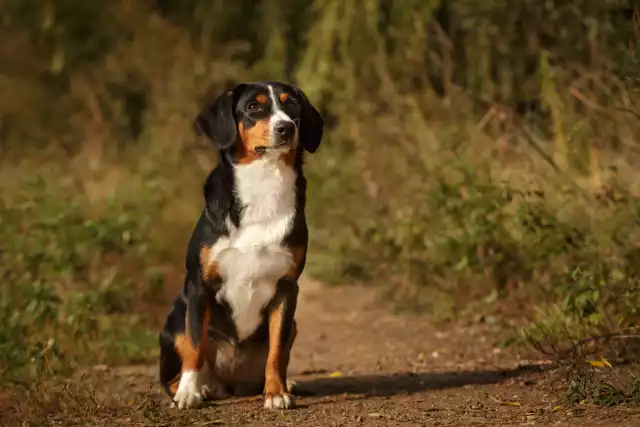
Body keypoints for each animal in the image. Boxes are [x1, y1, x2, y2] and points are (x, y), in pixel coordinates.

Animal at [158, 81, 322, 412]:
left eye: (292, 105)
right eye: (253, 107)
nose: (286, 128)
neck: (263, 188)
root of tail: (231, 383)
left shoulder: (287, 289)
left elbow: (276, 352)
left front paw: (276, 393)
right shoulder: (199, 286)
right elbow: (194, 346)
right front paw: (189, 393)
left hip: (294, 324)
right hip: (175, 320)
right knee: (176, 369)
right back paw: (198, 388)